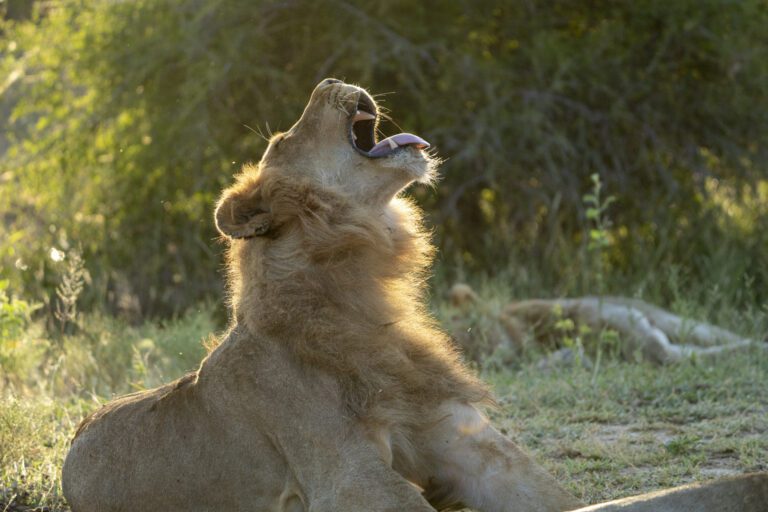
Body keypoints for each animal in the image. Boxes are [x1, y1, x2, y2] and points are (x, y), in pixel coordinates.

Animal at [62, 79, 583, 512]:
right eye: (281, 141)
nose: (330, 80)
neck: (356, 287)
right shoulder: (346, 478)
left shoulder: (462, 440)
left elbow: (556, 494)